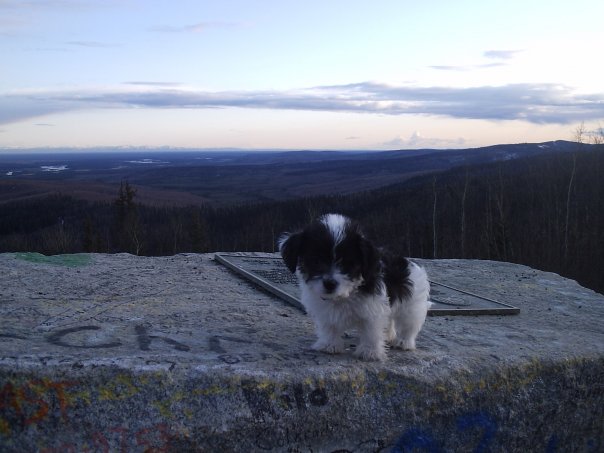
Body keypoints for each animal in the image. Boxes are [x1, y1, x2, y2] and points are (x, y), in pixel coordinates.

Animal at [278, 212, 430, 360]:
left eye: (347, 264)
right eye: (315, 261)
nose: (330, 283)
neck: (343, 296)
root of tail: (410, 263)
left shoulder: (373, 309)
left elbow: (371, 331)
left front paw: (370, 351)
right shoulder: (324, 310)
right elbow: (329, 327)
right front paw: (329, 345)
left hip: (412, 306)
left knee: (409, 325)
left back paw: (404, 342)